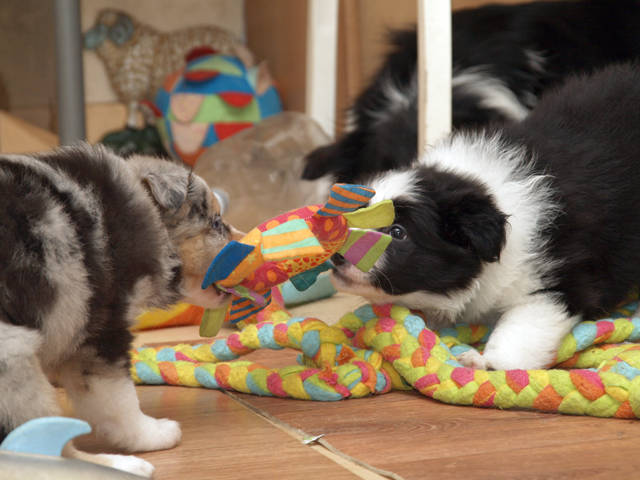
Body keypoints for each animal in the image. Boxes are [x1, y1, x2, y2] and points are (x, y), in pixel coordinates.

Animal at [0, 145, 240, 476]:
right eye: (216, 223)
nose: (251, 240)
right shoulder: (101, 333)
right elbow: (120, 401)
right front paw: (152, 433)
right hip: (13, 355)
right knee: (38, 449)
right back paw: (121, 466)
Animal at [331, 62, 640, 371]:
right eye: (356, 216)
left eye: (398, 232)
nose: (336, 254)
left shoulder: (563, 280)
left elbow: (522, 328)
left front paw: (485, 362)